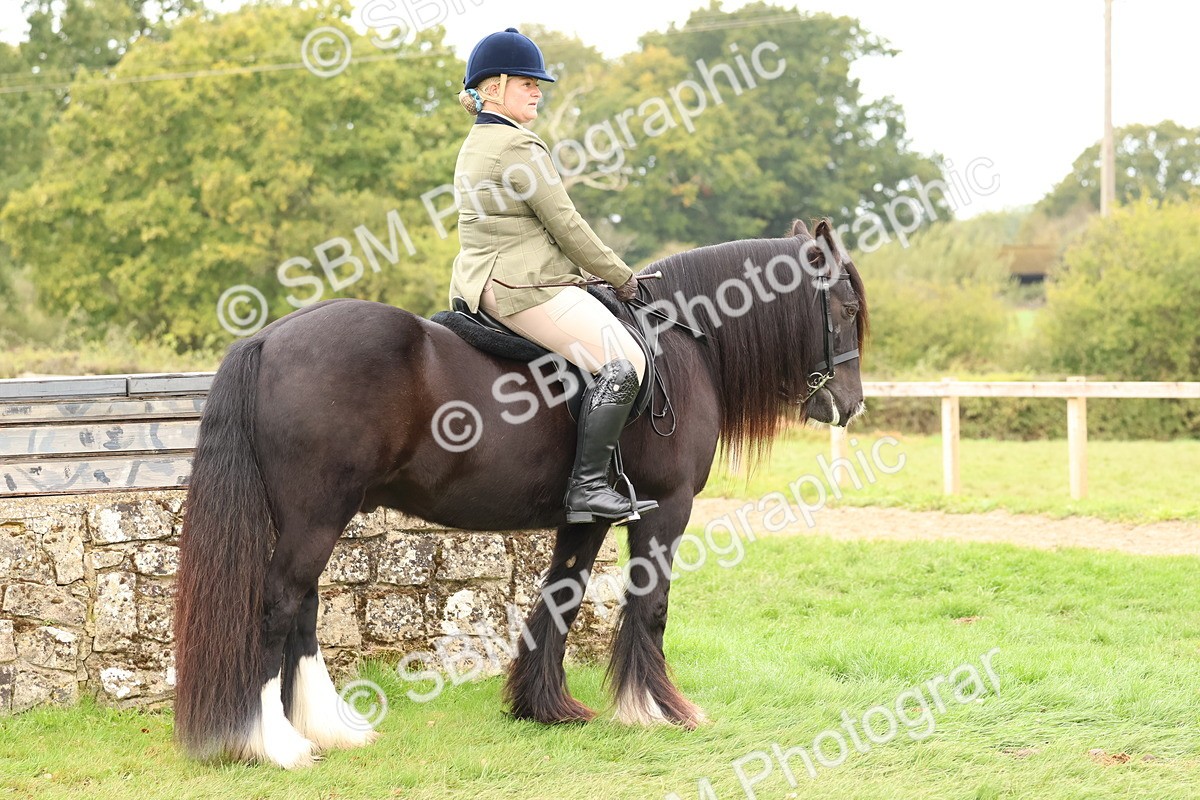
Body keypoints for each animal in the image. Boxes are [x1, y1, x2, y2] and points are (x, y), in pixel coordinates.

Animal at [172, 218, 869, 767]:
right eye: (844, 311)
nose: (850, 405)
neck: (679, 339)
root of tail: (270, 336)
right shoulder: (667, 508)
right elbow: (651, 607)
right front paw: (658, 710)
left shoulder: (588, 515)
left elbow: (562, 596)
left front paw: (545, 706)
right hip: (315, 517)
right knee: (279, 606)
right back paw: (276, 744)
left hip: (313, 520)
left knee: (305, 609)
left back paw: (329, 730)